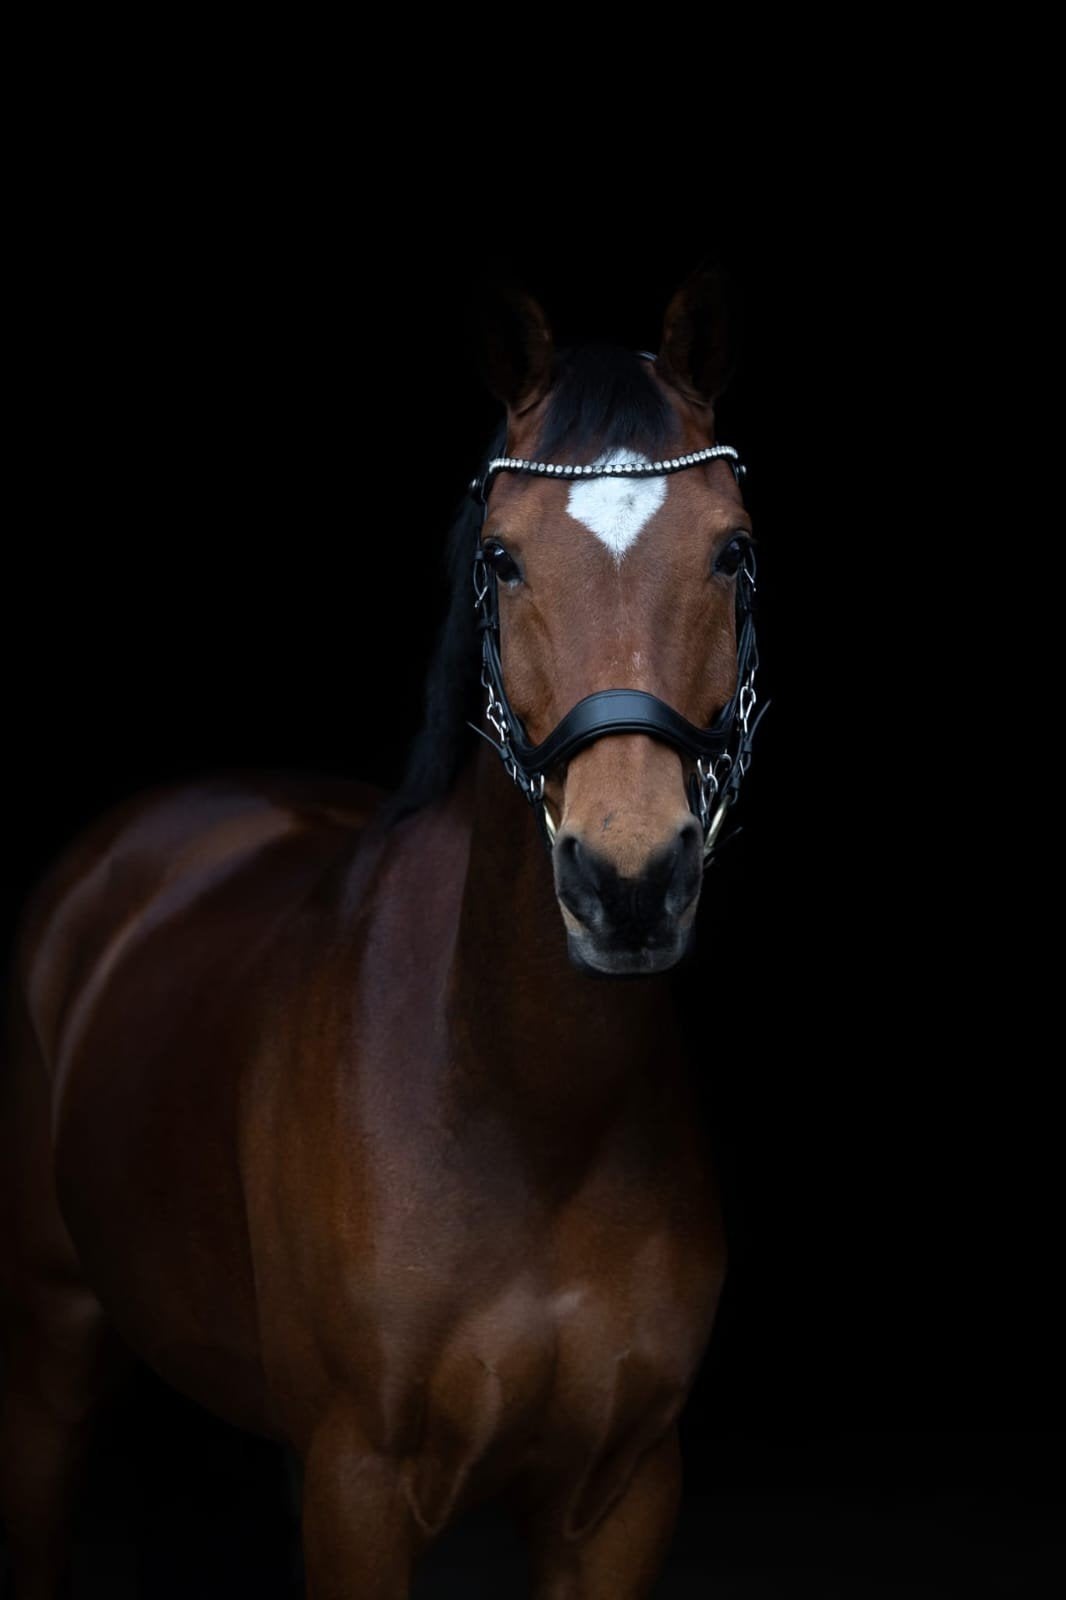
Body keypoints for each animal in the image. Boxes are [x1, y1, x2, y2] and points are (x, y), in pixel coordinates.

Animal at [0, 269, 764, 1599]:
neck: (525, 1103)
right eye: (502, 558)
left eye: (730, 548)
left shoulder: (620, 1496)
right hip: (50, 1341)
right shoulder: (358, 1484)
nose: (627, 880)